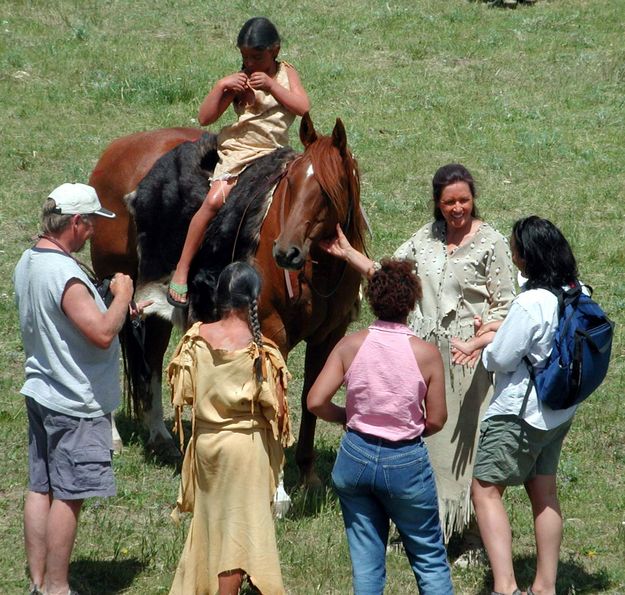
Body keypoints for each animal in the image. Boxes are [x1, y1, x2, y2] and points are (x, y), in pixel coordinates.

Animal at [90, 115, 368, 484]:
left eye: (327, 188)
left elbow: (311, 395)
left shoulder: (329, 335)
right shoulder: (272, 333)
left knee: (151, 356)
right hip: (113, 289)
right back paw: (113, 438)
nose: (286, 252)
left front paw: (308, 474)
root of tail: (115, 151)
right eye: (290, 183)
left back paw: (160, 436)